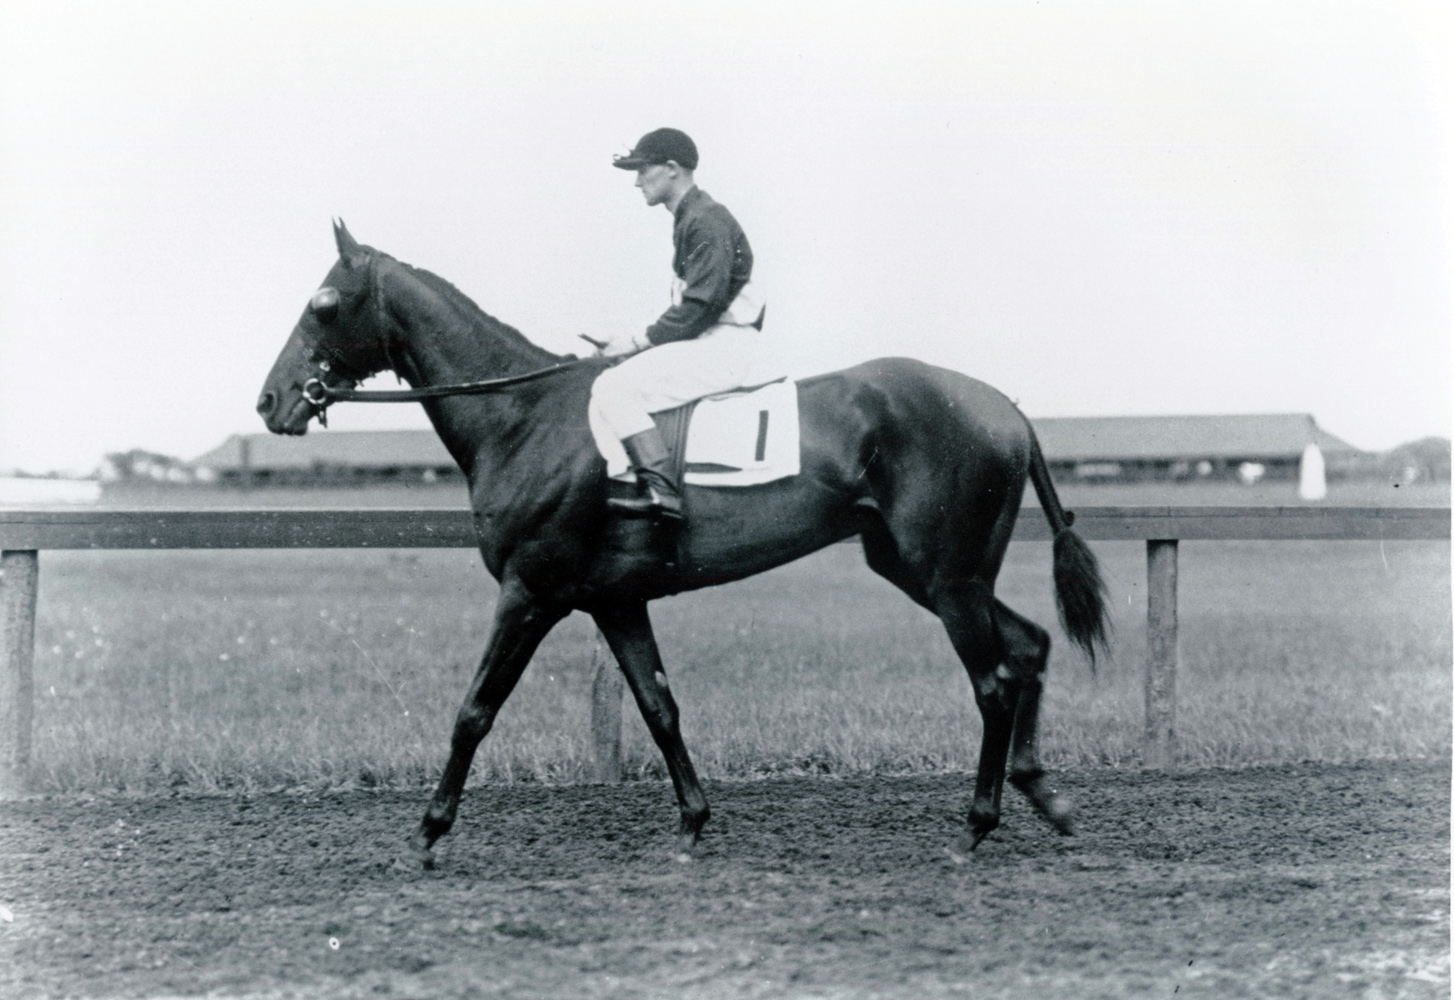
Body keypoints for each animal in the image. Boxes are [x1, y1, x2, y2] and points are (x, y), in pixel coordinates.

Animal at [255, 218, 1105, 866]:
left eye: (322, 304)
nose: (270, 401)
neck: (526, 418)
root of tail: (1003, 406)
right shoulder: (615, 602)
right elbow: (658, 706)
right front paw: (694, 823)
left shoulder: (530, 594)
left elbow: (475, 710)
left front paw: (431, 832)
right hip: (929, 571)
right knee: (1027, 648)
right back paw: (1048, 799)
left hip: (947, 576)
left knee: (993, 681)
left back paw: (976, 826)